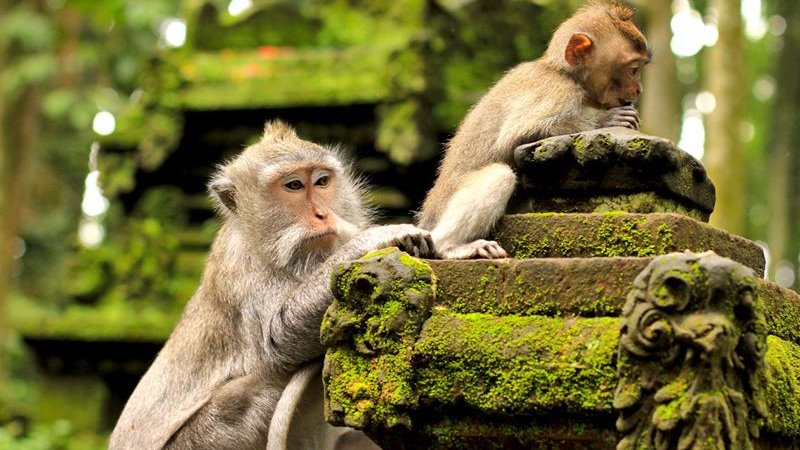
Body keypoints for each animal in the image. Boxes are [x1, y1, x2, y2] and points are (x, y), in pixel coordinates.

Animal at [109, 120, 433, 450]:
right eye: (293, 186)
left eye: (321, 181)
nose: (322, 214)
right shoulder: (242, 268)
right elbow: (278, 338)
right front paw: (373, 239)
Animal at [418, 1, 650, 260]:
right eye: (633, 69)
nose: (639, 89)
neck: (561, 72)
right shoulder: (558, 91)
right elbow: (515, 137)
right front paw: (606, 120)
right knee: (499, 175)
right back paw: (449, 247)